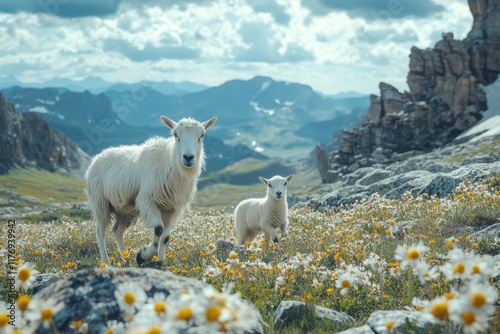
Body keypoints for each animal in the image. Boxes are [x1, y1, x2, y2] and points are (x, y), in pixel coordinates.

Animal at [85, 115, 217, 266]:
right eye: (175, 134)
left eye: (202, 135)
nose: (188, 157)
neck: (170, 165)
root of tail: (96, 158)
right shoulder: (147, 200)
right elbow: (159, 228)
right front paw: (143, 256)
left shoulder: (173, 208)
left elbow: (166, 237)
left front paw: (160, 261)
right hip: (100, 203)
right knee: (100, 232)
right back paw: (107, 263)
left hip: (125, 210)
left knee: (117, 231)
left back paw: (126, 257)